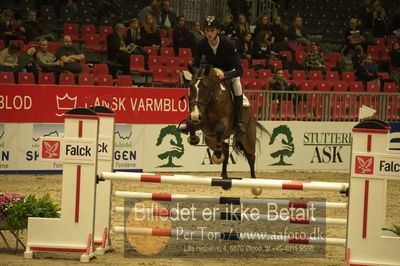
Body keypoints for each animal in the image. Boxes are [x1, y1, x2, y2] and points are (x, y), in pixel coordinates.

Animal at [183, 63, 268, 194]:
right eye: (191, 86)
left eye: (206, 87)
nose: (195, 115)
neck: (212, 99)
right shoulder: (203, 124)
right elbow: (190, 123)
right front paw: (193, 139)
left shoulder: (223, 123)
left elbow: (219, 128)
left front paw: (217, 155)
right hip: (210, 140)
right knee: (226, 149)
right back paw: (224, 178)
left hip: (247, 138)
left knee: (250, 156)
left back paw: (255, 185)